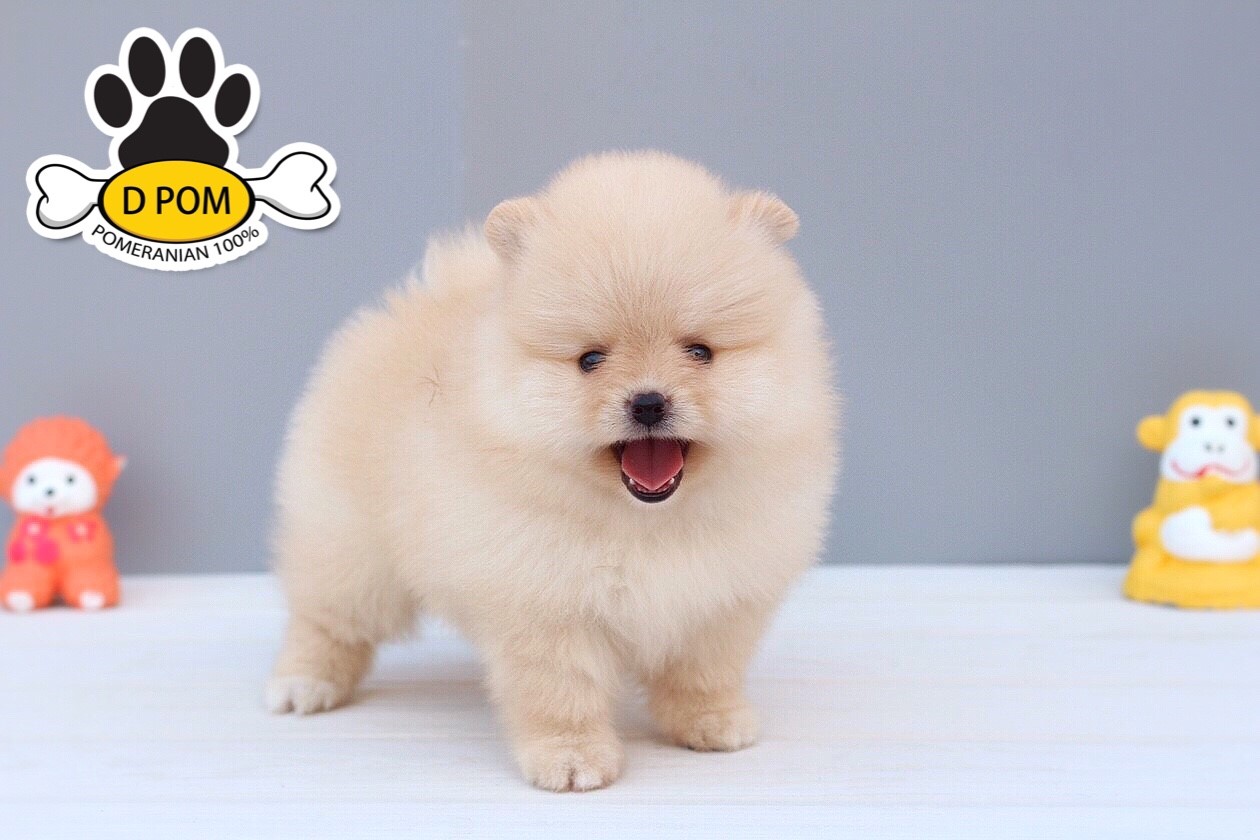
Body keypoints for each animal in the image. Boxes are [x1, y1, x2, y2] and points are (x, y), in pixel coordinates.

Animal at [266, 151, 839, 791]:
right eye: (590, 360)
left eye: (700, 352)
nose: (648, 402)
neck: (645, 524)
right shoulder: (546, 602)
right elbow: (562, 693)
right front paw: (571, 758)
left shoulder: (719, 598)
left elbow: (702, 671)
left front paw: (710, 720)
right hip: (355, 551)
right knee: (327, 617)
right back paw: (303, 683)